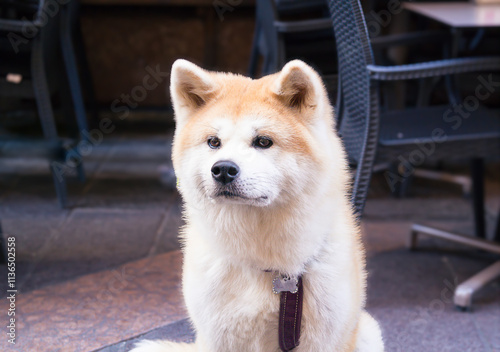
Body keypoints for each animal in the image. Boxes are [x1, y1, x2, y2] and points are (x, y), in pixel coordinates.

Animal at [131, 59, 384, 350]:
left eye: (263, 141)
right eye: (213, 142)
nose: (223, 169)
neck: (267, 263)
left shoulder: (323, 338)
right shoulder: (219, 336)